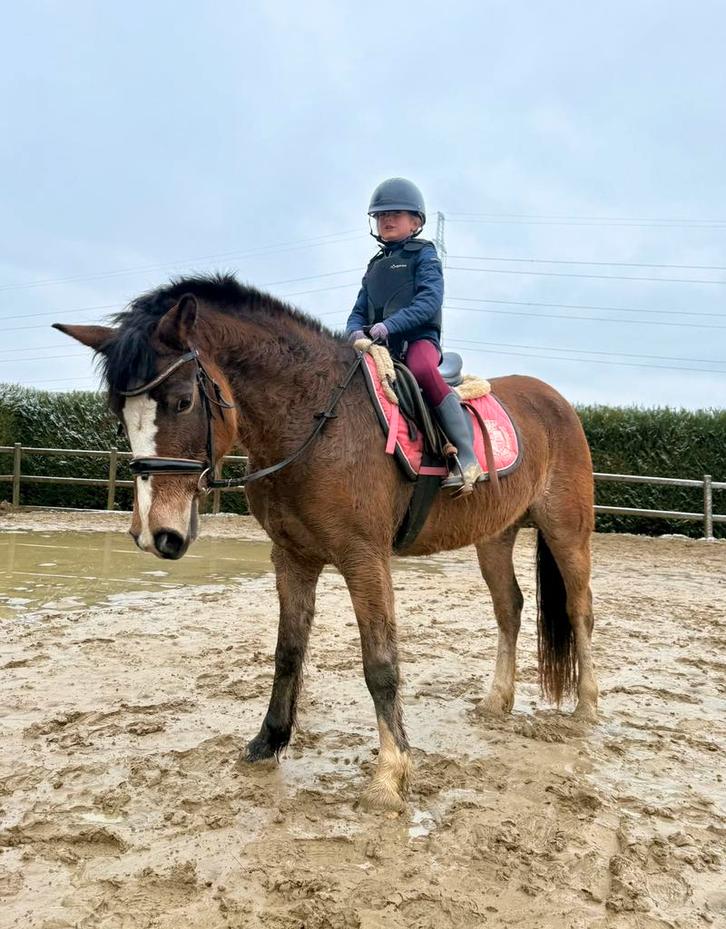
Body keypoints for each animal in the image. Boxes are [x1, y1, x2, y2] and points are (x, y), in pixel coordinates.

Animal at [55, 273, 598, 812]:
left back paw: (587, 707)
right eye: (119, 413)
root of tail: (554, 400)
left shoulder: (364, 558)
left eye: (183, 400)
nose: (155, 533)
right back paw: (497, 701)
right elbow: (288, 651)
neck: (314, 420)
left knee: (579, 611)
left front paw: (390, 775)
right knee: (510, 608)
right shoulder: (292, 557)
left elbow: (380, 664)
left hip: (567, 531)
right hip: (495, 536)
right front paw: (268, 741)